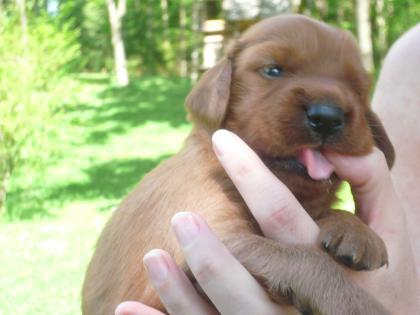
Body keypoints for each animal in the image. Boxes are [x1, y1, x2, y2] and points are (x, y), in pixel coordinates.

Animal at [81, 14, 394, 315]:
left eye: (357, 88)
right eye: (273, 70)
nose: (327, 117)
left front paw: (355, 230)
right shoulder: (209, 236)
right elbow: (306, 261)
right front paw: (360, 305)